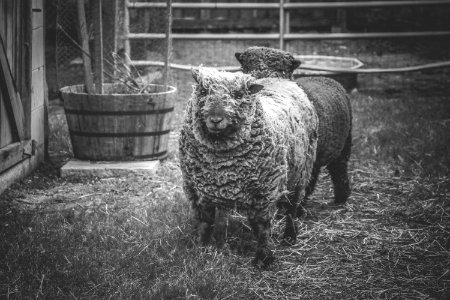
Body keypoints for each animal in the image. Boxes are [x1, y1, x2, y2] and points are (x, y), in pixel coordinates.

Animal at [178, 67, 318, 266]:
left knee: (292, 208)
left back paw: (290, 236)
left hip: (301, 173)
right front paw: (202, 248)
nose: (215, 119)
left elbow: (261, 227)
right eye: (204, 91)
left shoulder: (264, 192)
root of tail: (279, 78)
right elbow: (206, 222)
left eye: (237, 95)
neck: (222, 165)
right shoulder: (199, 191)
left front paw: (263, 258)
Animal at [236, 47, 352, 211]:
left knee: (339, 169)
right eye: (244, 67)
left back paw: (341, 198)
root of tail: (325, 78)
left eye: (281, 69)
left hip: (344, 144)